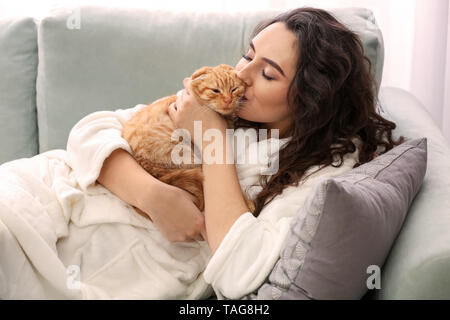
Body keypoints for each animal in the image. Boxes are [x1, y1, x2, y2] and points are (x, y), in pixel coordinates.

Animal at [121, 63, 255, 212]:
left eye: (234, 89)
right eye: (215, 90)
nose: (228, 100)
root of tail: (142, 160)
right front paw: (247, 203)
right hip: (186, 153)